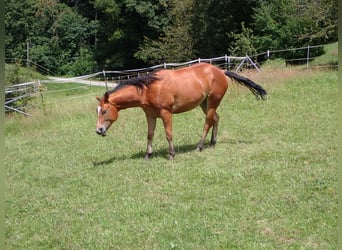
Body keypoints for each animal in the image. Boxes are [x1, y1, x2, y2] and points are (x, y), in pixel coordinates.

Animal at [96, 62, 268, 160]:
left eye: (104, 111)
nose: (99, 130)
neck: (149, 88)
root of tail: (221, 71)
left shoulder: (166, 113)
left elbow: (168, 134)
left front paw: (171, 155)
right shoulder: (150, 115)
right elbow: (150, 135)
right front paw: (147, 155)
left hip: (212, 102)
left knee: (207, 123)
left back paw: (200, 146)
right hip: (205, 104)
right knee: (216, 119)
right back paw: (212, 143)